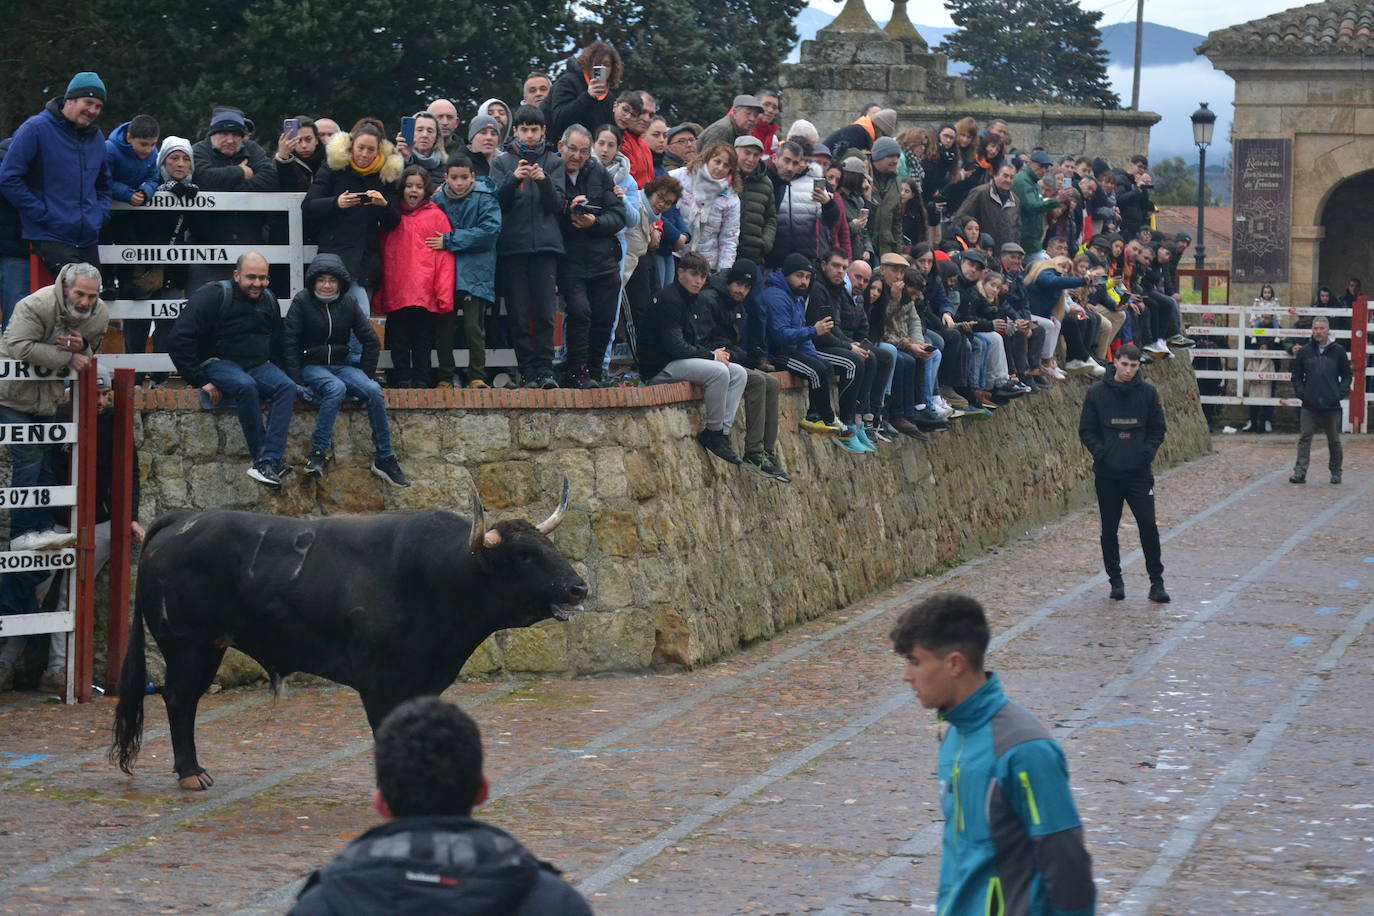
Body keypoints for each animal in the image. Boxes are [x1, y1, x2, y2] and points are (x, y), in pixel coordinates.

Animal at [111, 480, 590, 791]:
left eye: (550, 548)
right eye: (525, 555)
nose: (578, 588)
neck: (437, 575)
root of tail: (184, 520)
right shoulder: (378, 682)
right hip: (189, 645)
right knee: (180, 699)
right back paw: (191, 772)